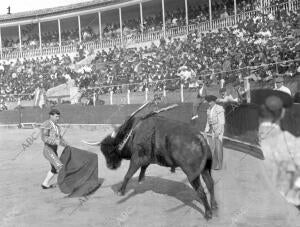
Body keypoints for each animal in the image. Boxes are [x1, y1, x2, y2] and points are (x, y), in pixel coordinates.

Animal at [85, 105, 217, 219]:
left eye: (111, 151)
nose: (110, 166)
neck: (132, 133)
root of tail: (200, 138)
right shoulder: (146, 159)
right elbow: (143, 168)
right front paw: (141, 180)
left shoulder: (136, 159)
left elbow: (128, 175)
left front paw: (121, 192)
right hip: (205, 169)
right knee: (210, 184)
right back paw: (215, 207)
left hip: (191, 173)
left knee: (201, 191)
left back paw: (208, 214)